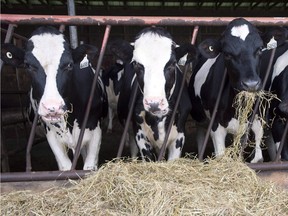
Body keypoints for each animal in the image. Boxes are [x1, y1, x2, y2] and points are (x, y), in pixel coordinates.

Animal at [0, 26, 108, 170]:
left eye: (69, 65)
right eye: (28, 65)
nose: (52, 107)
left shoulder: (95, 130)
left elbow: (89, 167)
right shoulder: (51, 135)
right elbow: (65, 167)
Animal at [188, 18, 264, 162]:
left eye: (259, 50)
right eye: (227, 54)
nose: (251, 84)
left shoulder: (255, 120)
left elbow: (256, 157)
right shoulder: (216, 125)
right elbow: (220, 156)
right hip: (199, 116)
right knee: (200, 135)